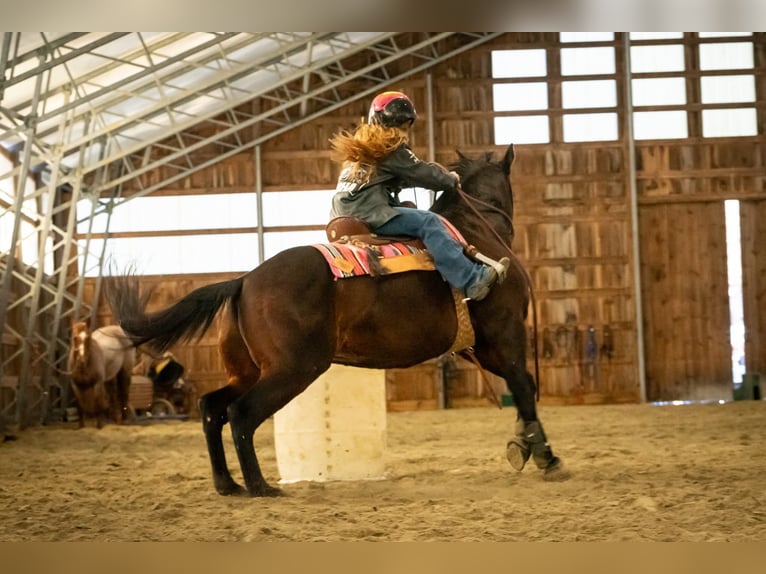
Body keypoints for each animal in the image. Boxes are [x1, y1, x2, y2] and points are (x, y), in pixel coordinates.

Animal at [105, 145, 568, 500]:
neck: (475, 233)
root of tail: (245, 280)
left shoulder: (480, 347)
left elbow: (521, 389)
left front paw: (524, 444)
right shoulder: (504, 336)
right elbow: (524, 386)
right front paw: (544, 455)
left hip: (248, 370)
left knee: (211, 408)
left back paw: (227, 484)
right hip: (293, 369)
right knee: (240, 414)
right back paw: (259, 486)